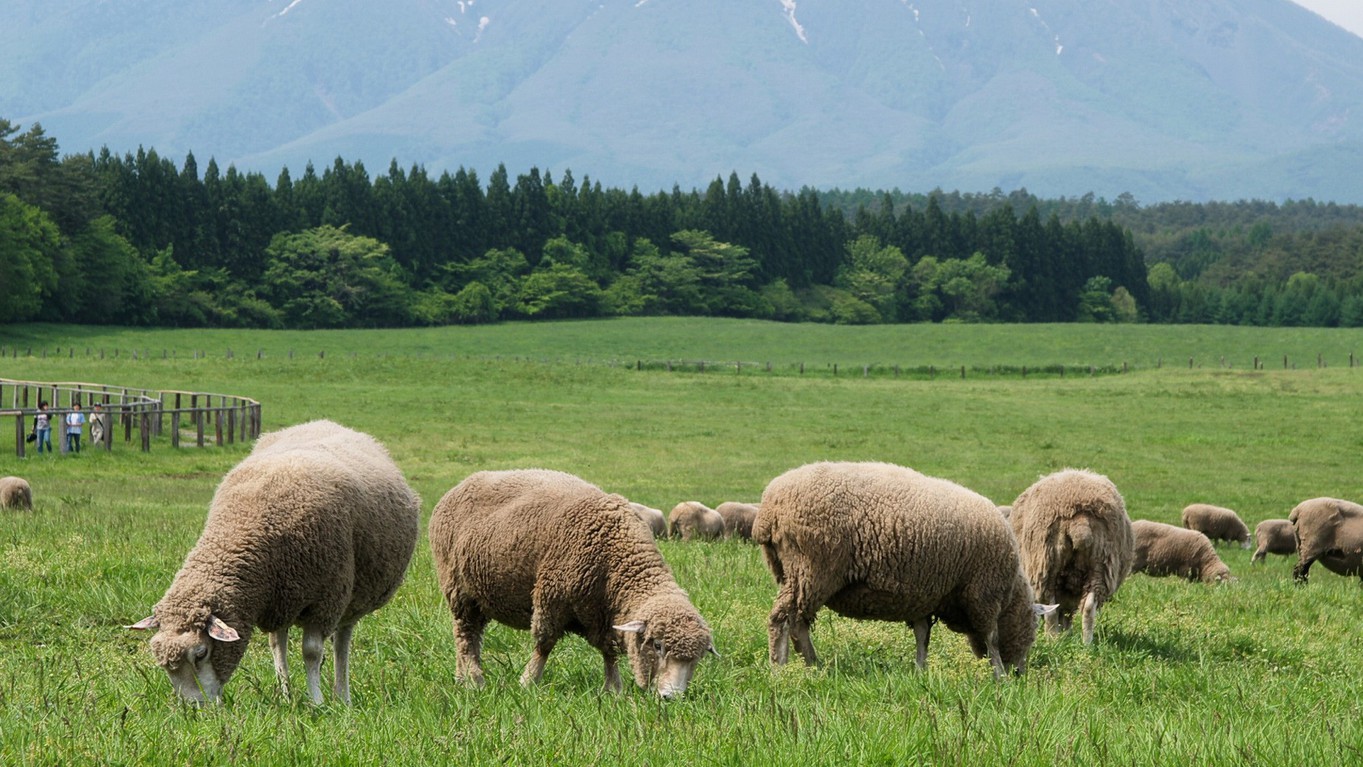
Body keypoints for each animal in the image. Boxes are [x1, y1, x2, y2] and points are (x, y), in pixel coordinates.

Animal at [133, 422, 422, 702]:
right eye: (163, 663)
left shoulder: (325, 601)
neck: (246, 525)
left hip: (352, 597)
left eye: (201, 653)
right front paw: (290, 694)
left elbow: (312, 652)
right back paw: (286, 694)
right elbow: (279, 646)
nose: (193, 707)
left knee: (342, 641)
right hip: (284, 598)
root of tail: (330, 424)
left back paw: (342, 697)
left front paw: (317, 702)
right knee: (278, 642)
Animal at [430, 468, 719, 702]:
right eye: (657, 645)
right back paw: (475, 681)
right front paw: (528, 682)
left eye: (697, 658)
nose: (672, 697)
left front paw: (613, 690)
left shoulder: (603, 615)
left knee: (471, 637)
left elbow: (609, 653)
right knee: (466, 636)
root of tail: (460, 485)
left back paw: (462, 677)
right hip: (459, 590)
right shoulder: (551, 597)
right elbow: (543, 644)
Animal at [746, 463, 1052, 678]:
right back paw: (781, 670)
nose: (1020, 674)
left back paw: (814, 666)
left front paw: (921, 671)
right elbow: (992, 639)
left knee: (799, 623)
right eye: (1033, 631)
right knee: (782, 619)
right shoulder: (983, 594)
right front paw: (1000, 676)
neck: (1011, 594)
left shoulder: (925, 596)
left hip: (792, 573)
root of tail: (769, 510)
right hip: (812, 569)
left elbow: (922, 636)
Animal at [1008, 471, 1134, 645]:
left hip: (1047, 563)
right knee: (1088, 607)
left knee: (1051, 608)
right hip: (1101, 565)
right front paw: (1066, 633)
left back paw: (1052, 640)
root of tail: (1081, 524)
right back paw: (1087, 643)